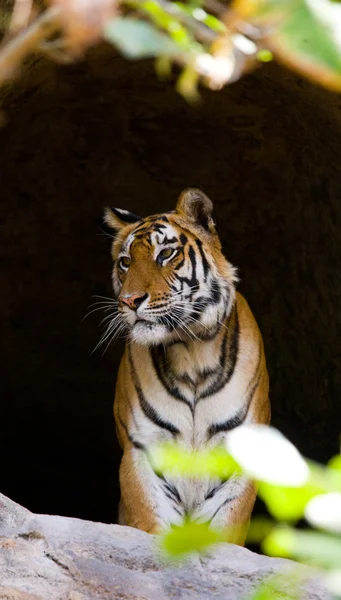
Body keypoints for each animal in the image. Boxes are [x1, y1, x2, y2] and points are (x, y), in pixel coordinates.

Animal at [102, 186, 270, 544]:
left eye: (165, 254)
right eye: (125, 262)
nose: (129, 301)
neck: (192, 353)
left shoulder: (237, 456)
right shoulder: (143, 450)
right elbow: (150, 523)